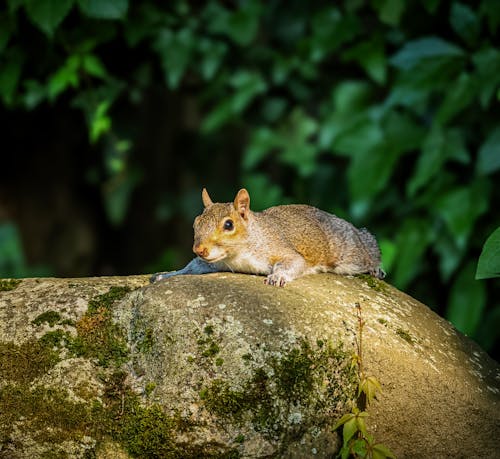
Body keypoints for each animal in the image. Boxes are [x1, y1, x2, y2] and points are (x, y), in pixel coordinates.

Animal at [150, 188, 384, 288]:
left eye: (229, 225)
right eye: (195, 223)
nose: (199, 250)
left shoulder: (279, 249)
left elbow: (293, 262)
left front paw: (277, 276)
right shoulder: (214, 262)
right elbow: (193, 267)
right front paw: (167, 274)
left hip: (350, 252)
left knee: (369, 253)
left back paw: (375, 268)